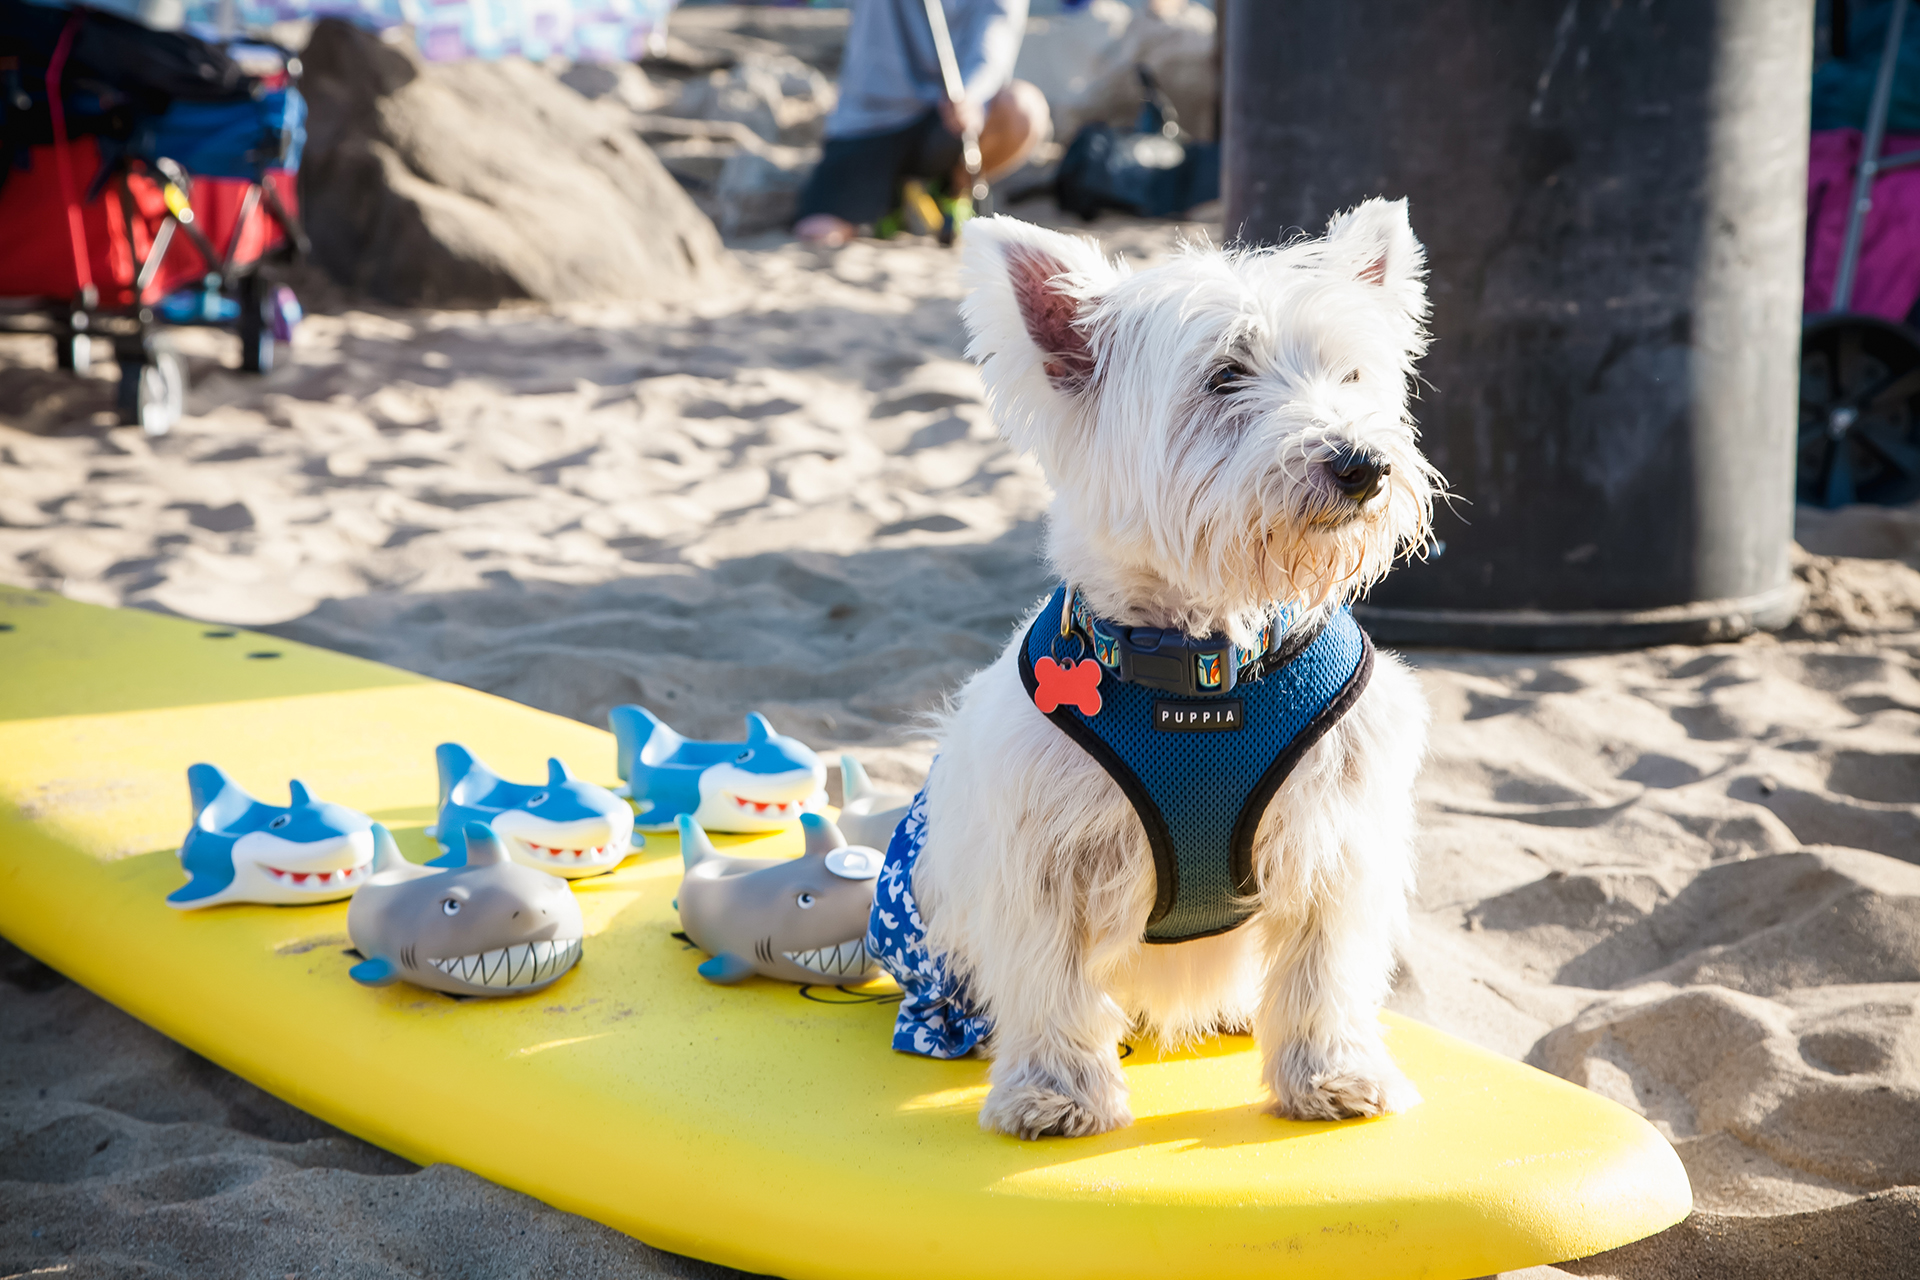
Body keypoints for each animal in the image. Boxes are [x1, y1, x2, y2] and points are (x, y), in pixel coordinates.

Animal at [898, 202, 1443, 1143]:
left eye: (1351, 373)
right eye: (1225, 376)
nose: (1362, 465)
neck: (1208, 665)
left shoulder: (1337, 838)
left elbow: (1324, 970)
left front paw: (1331, 1075)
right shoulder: (1039, 854)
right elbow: (1048, 976)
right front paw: (1054, 1091)